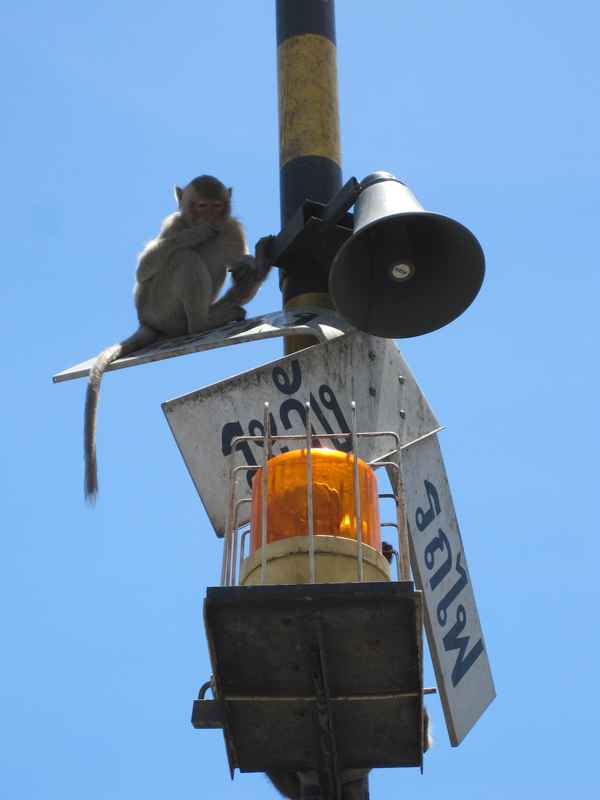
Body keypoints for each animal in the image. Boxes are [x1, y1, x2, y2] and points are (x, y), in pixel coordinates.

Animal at [84, 175, 273, 502]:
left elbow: (239, 261)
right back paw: (202, 321)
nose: (210, 220)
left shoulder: (233, 228)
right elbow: (144, 269)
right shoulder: (172, 225)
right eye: (200, 206)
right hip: (159, 307)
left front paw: (250, 264)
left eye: (217, 206)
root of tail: (146, 321)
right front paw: (198, 233)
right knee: (182, 258)